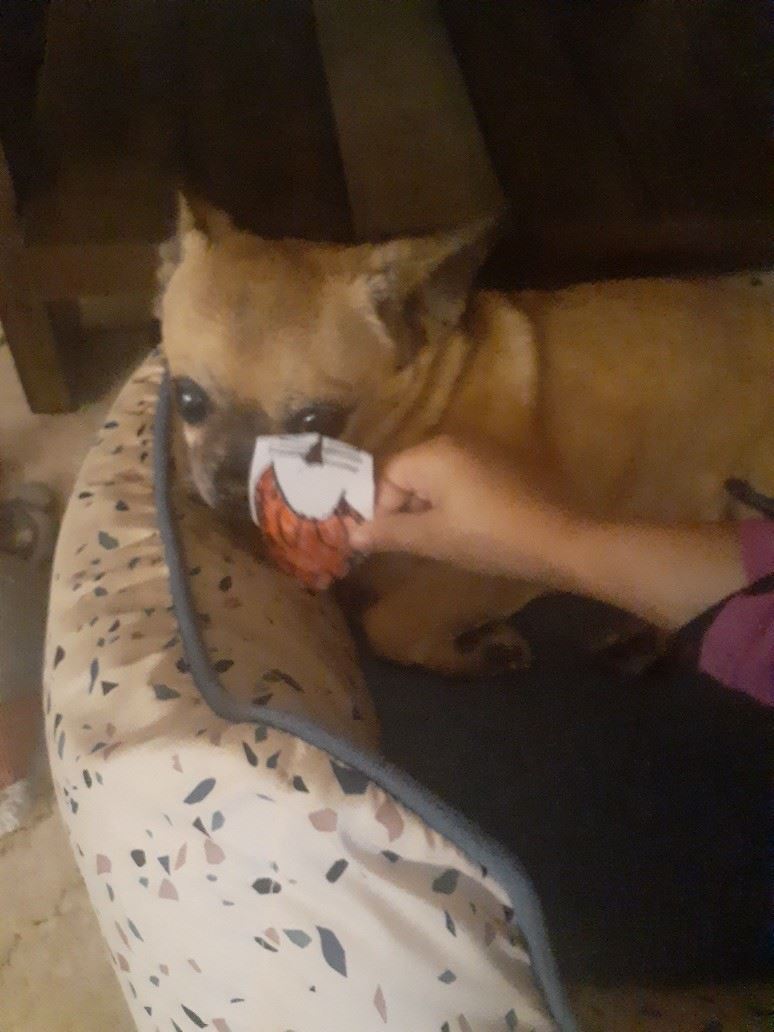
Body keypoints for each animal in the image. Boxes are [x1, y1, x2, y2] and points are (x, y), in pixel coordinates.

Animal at [160, 195, 774, 675]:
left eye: (316, 422)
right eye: (187, 399)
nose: (231, 482)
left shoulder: (488, 572)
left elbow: (386, 623)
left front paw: (482, 653)